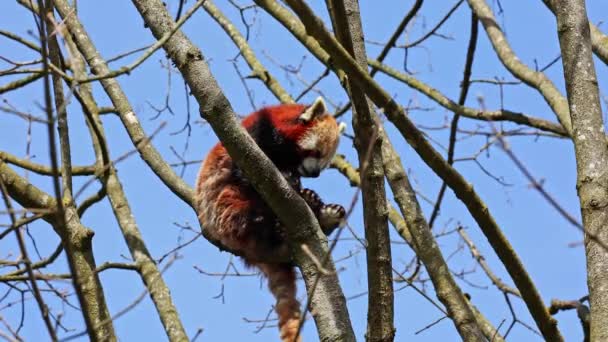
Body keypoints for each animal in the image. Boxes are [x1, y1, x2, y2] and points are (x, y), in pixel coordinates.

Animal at [196, 97, 344, 342]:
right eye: (317, 152)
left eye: (326, 161)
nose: (315, 174)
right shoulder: (252, 139)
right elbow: (244, 173)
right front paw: (289, 179)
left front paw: (303, 189)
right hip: (223, 208)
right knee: (248, 212)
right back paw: (274, 224)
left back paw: (322, 212)